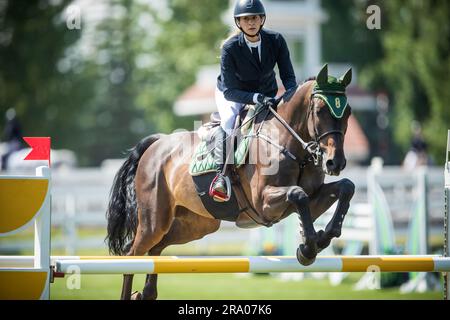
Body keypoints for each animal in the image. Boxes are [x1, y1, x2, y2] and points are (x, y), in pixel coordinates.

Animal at [105, 63, 356, 298]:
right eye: (320, 110)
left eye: (348, 112)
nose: (335, 163)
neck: (292, 145)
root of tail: (157, 143)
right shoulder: (264, 202)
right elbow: (298, 194)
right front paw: (308, 249)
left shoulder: (312, 198)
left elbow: (345, 187)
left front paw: (322, 237)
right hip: (154, 220)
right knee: (132, 253)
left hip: (196, 223)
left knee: (156, 249)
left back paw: (146, 293)